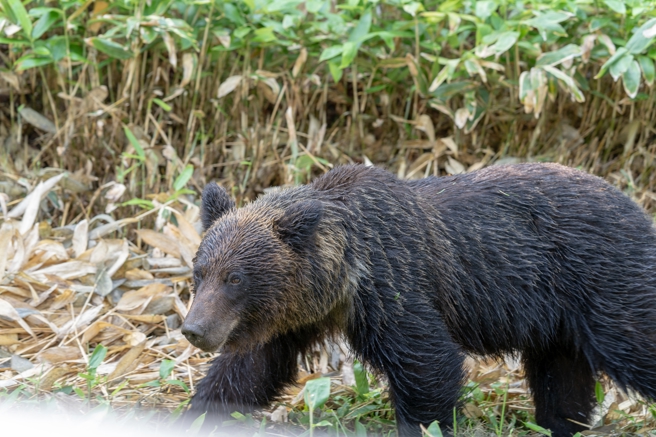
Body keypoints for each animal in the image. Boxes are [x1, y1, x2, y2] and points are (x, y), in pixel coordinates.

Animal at [181, 163, 656, 437]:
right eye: (199, 271)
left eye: (235, 277)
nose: (194, 329)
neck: (341, 277)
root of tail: (635, 204)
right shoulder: (293, 316)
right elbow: (248, 370)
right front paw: (199, 411)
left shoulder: (393, 286)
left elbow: (427, 363)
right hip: (557, 317)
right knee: (561, 375)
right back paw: (560, 424)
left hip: (603, 283)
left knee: (635, 341)